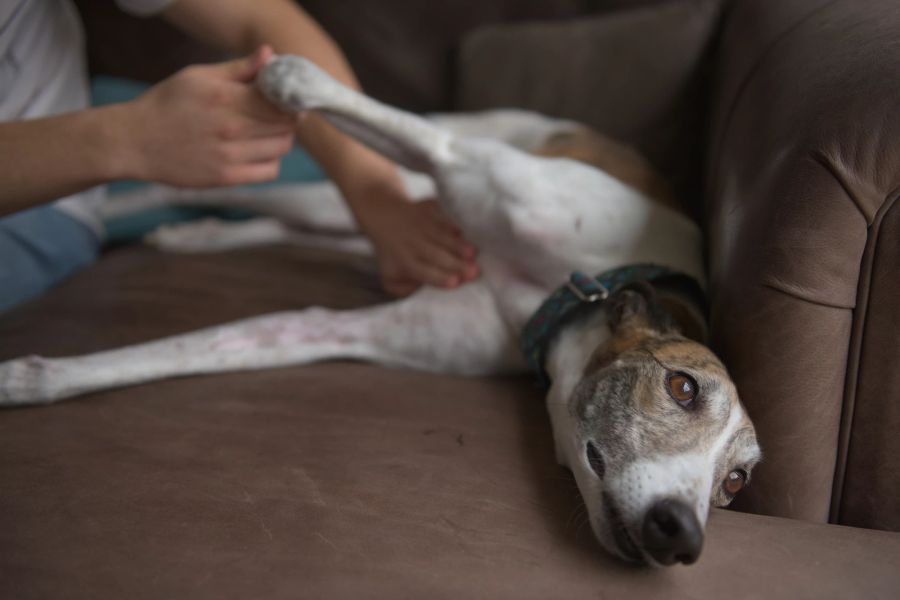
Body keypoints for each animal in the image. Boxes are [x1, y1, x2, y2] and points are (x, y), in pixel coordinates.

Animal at [0, 56, 760, 568]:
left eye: (737, 482)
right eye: (683, 388)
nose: (682, 535)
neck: (580, 287)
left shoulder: (343, 328)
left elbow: (203, 347)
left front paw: (32, 376)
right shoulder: (461, 162)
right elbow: (395, 125)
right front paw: (290, 78)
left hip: (382, 214)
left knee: (300, 224)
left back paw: (196, 236)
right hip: (404, 179)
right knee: (206, 185)